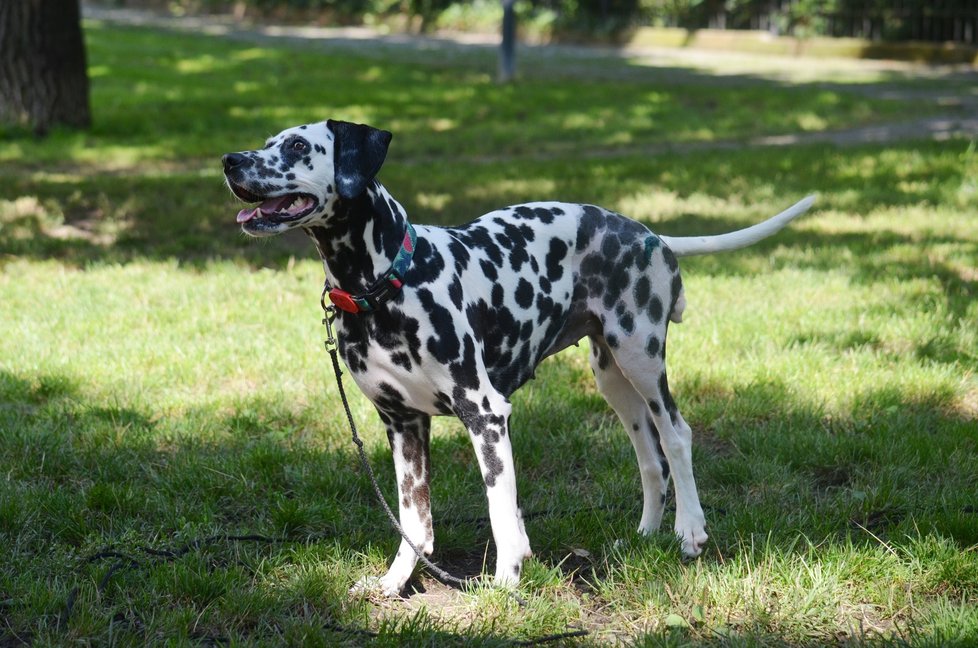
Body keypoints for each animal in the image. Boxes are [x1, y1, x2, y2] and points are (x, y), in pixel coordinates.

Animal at [223, 120, 816, 596]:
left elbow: (500, 512)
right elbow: (415, 524)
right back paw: (648, 533)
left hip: (642, 362)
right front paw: (395, 583)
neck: (388, 283)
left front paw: (507, 582)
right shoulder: (402, 425)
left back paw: (689, 529)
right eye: (267, 141)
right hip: (613, 381)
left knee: (676, 435)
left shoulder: (485, 414)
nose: (230, 161)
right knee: (649, 456)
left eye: (298, 145)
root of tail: (648, 233)